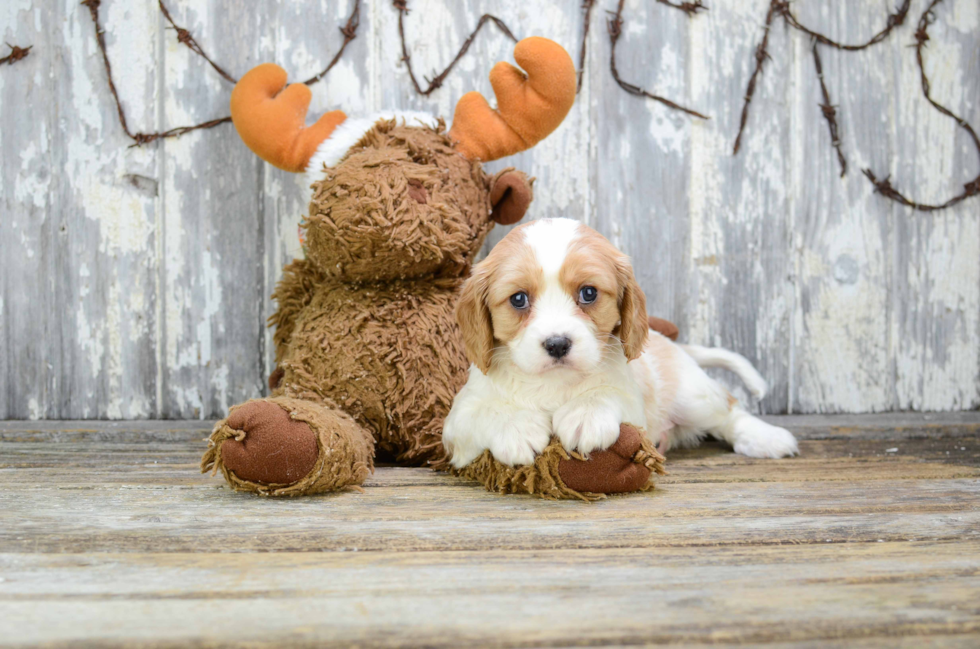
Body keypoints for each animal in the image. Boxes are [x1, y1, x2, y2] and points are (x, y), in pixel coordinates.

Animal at [444, 218, 796, 466]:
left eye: (588, 293)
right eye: (518, 299)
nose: (557, 344)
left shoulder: (630, 400)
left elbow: (606, 394)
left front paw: (585, 415)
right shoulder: (455, 422)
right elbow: (485, 412)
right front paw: (516, 428)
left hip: (693, 396)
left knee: (729, 411)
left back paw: (767, 438)